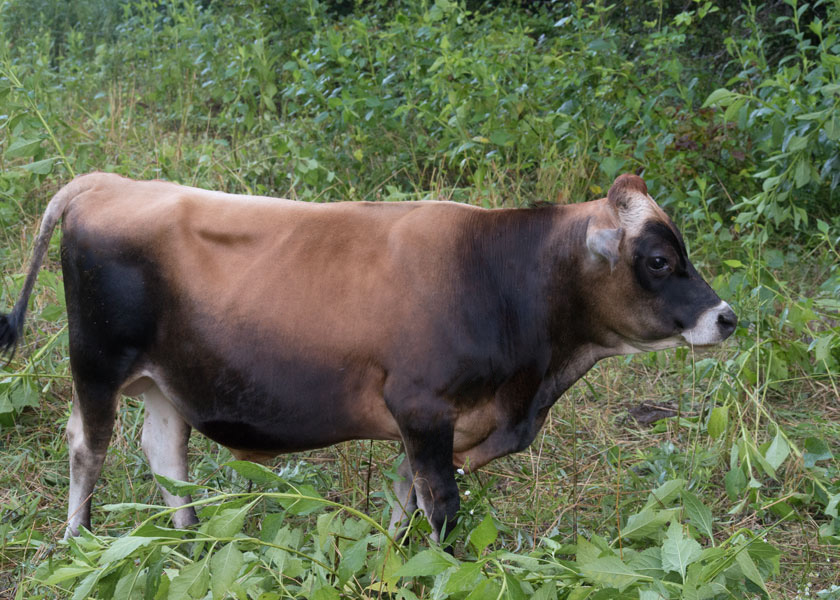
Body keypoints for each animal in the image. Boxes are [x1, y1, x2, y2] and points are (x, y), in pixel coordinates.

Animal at [0, 172, 736, 542]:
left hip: (165, 379)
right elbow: (442, 505)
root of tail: (107, 182)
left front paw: (398, 559)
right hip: (96, 363)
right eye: (659, 259)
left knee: (163, 450)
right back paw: (80, 540)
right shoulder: (423, 405)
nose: (726, 317)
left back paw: (190, 540)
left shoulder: (426, 422)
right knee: (87, 445)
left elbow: (408, 498)